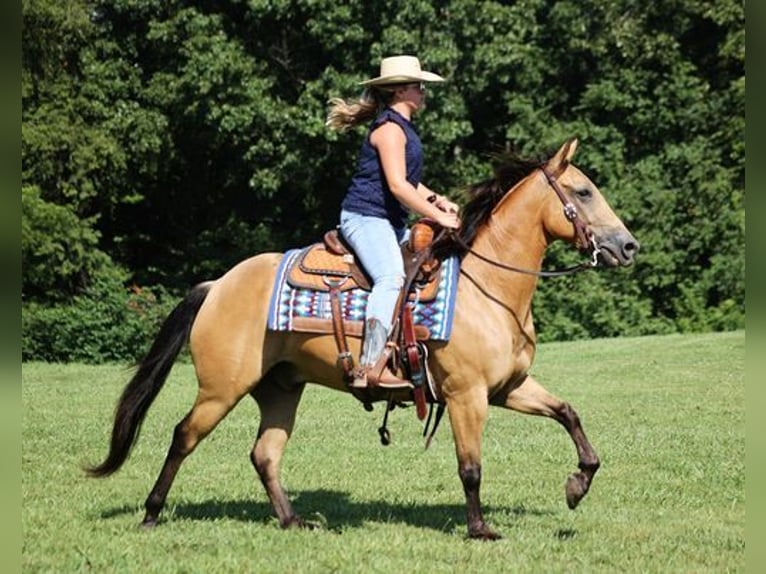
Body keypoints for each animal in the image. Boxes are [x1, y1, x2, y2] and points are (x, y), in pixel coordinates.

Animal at [85, 138, 640, 540]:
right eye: (584, 192)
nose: (628, 246)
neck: (489, 288)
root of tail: (217, 285)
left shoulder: (507, 388)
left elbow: (569, 413)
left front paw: (576, 485)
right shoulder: (467, 396)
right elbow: (471, 466)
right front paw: (480, 529)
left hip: (280, 389)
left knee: (265, 454)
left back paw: (293, 521)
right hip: (221, 388)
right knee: (183, 436)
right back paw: (152, 513)